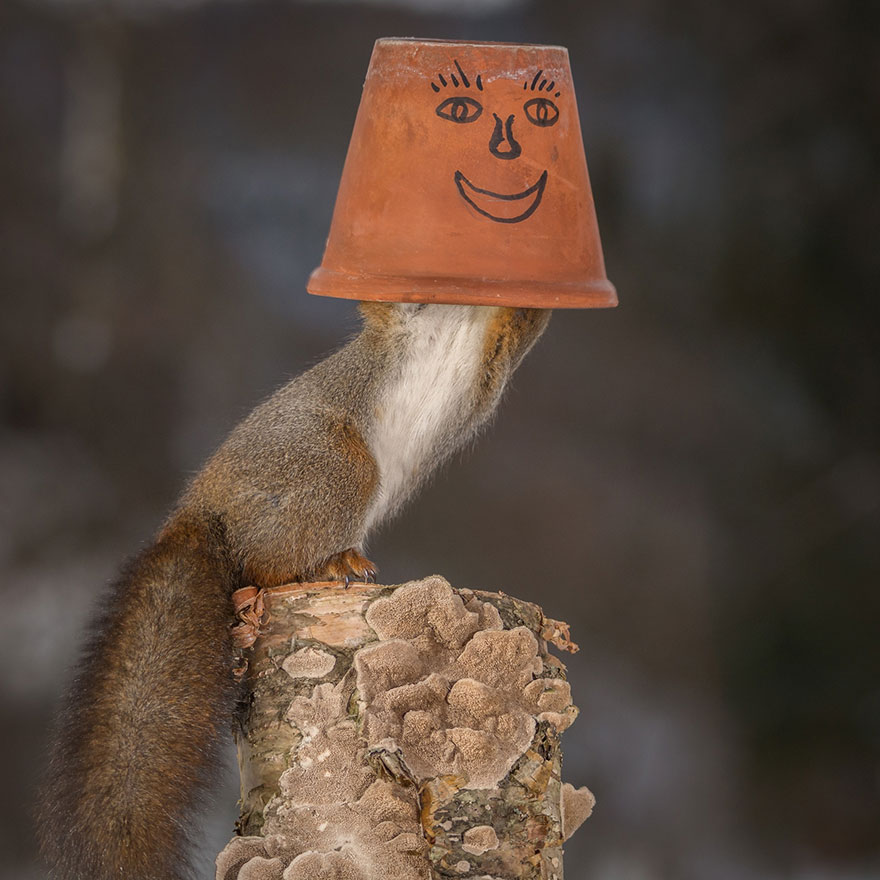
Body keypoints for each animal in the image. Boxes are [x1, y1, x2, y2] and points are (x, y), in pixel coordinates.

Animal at [37, 301, 550, 880]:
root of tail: (200, 510)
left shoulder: (494, 358)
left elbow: (513, 331)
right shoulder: (398, 324)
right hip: (332, 464)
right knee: (266, 560)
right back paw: (325, 564)